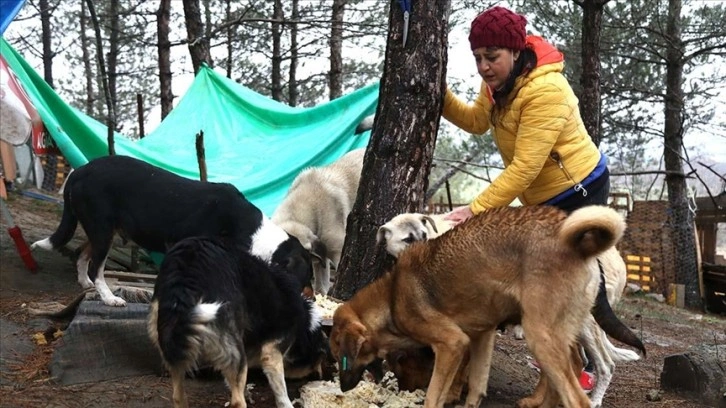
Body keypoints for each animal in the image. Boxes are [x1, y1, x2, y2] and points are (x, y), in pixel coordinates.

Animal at [32, 156, 314, 306]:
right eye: (306, 278)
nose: (311, 300)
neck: (253, 234)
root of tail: (80, 170)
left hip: (102, 229)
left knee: (81, 254)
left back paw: (85, 284)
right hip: (102, 229)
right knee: (95, 267)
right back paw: (110, 298)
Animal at [148, 236, 328, 408]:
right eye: (319, 359)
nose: (319, 376)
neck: (306, 326)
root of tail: (187, 269)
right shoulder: (272, 352)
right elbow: (281, 391)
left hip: (172, 342)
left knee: (177, 396)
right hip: (230, 346)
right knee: (237, 402)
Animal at [332, 207, 628, 408]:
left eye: (339, 356)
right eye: (406, 238)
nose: (343, 388)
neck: (392, 295)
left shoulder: (453, 342)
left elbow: (437, 391)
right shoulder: (481, 336)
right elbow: (475, 384)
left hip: (548, 333)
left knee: (592, 376)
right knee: (568, 371)